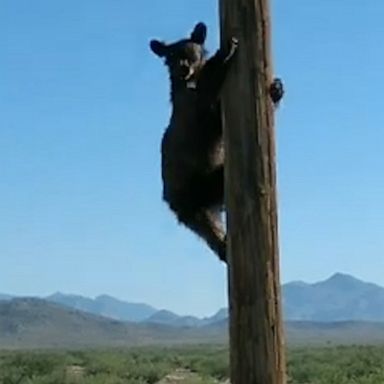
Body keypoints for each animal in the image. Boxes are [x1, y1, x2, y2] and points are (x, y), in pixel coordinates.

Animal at [150, 21, 282, 260]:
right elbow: (209, 108)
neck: (190, 82)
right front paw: (224, 52)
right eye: (170, 56)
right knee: (207, 221)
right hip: (193, 190)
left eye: (191, 53)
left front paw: (276, 90)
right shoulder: (190, 108)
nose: (183, 68)